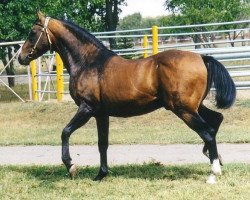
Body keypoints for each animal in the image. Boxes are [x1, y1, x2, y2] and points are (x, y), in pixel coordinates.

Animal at [18, 11, 235, 183]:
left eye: (33, 33)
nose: (21, 57)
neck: (88, 62)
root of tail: (202, 58)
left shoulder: (87, 108)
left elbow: (65, 132)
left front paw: (71, 167)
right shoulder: (101, 114)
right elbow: (102, 143)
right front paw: (101, 174)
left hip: (184, 109)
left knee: (208, 131)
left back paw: (214, 172)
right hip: (193, 107)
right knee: (217, 120)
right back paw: (214, 156)